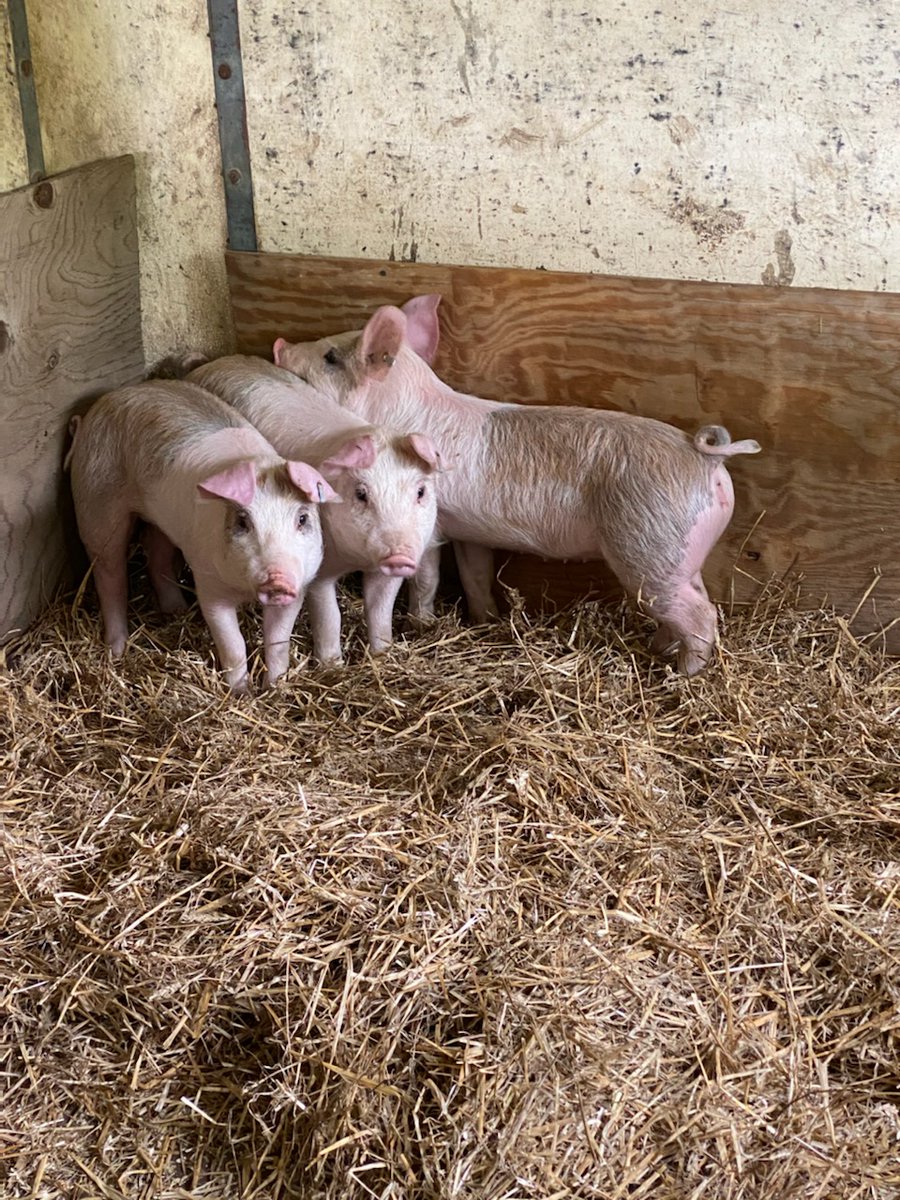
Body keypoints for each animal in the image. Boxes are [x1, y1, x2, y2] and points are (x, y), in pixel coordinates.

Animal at [67, 379, 338, 693]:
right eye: (243, 521)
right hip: (96, 503)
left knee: (156, 553)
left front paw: (274, 686)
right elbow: (233, 645)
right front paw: (240, 693)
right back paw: (117, 651)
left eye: (302, 519)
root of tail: (106, 401)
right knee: (110, 575)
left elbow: (278, 641)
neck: (244, 589)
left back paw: (177, 611)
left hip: (163, 520)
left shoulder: (300, 584)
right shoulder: (208, 583)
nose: (278, 580)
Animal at [185, 356, 441, 666]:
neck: (356, 558)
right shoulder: (317, 568)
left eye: (421, 492)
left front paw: (382, 653)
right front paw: (332, 665)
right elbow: (330, 615)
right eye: (361, 494)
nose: (400, 556)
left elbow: (380, 609)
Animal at [272, 298, 761, 676]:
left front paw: (421, 623)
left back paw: (682, 676)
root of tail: (706, 456)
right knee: (693, 600)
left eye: (330, 356)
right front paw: (482, 619)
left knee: (701, 614)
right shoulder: (469, 531)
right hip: (678, 552)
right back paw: (661, 650)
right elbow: (474, 575)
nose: (279, 346)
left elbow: (427, 576)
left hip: (648, 541)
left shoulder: (429, 523)